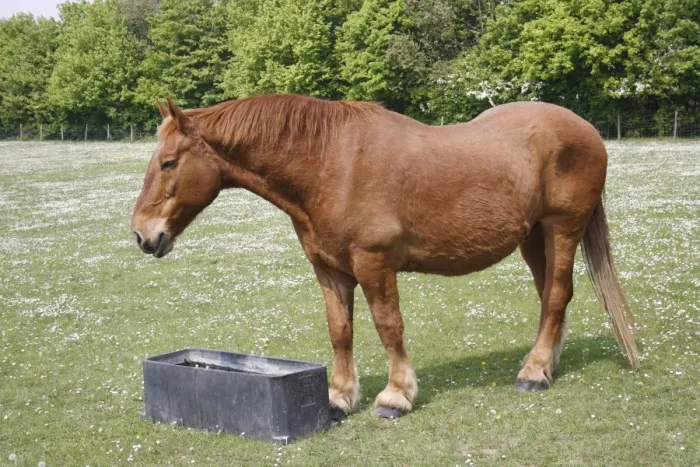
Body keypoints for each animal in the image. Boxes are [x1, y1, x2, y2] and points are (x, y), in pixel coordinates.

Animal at [131, 94, 639, 420]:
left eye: (169, 162)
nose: (142, 234)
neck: (331, 164)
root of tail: (586, 130)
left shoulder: (374, 264)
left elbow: (388, 326)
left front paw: (395, 397)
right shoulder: (330, 270)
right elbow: (341, 332)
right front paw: (339, 398)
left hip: (561, 228)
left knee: (556, 295)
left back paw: (534, 373)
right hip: (533, 237)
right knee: (551, 297)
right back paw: (544, 364)